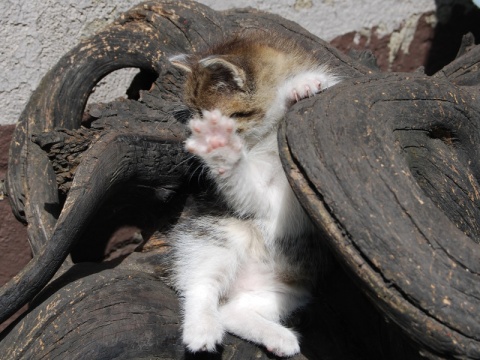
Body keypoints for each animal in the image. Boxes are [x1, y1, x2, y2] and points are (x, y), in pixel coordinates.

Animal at [169, 31, 342, 358]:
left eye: (205, 115)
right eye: (194, 118)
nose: (195, 137)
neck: (266, 136)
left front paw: (303, 86)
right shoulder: (262, 201)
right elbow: (246, 189)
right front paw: (221, 149)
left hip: (291, 288)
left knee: (233, 312)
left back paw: (279, 338)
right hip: (216, 235)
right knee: (201, 286)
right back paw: (202, 330)